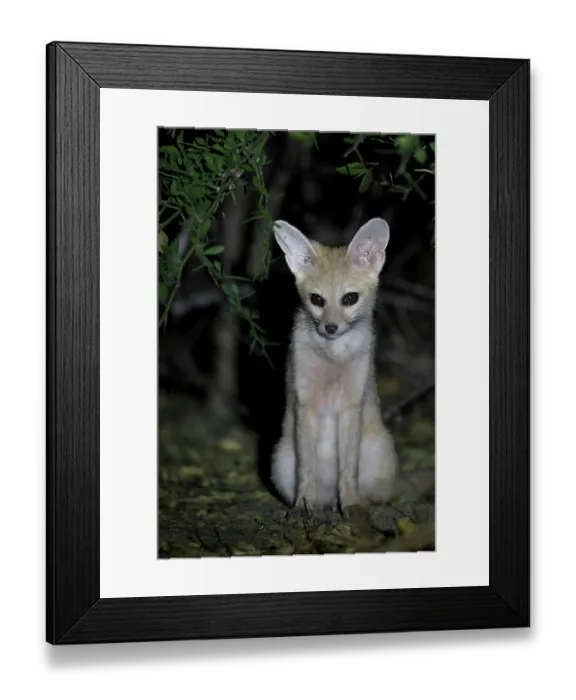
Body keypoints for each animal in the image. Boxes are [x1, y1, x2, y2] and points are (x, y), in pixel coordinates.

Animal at [270, 216, 398, 517]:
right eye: (317, 300)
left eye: (349, 298)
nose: (330, 327)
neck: (333, 358)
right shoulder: (306, 403)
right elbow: (306, 470)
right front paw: (304, 504)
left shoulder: (351, 404)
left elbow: (348, 470)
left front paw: (350, 504)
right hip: (281, 462)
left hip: (380, 451)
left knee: (376, 495)